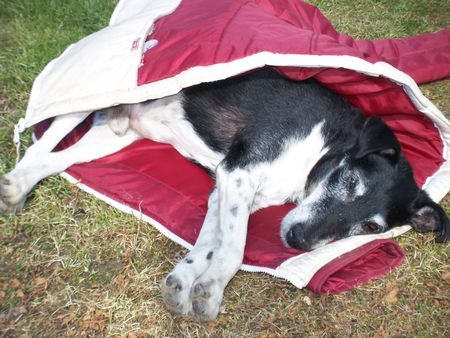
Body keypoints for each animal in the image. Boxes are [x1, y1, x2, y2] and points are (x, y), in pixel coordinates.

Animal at [1, 66, 448, 322]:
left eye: (370, 228)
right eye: (351, 180)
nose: (297, 240)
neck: (322, 147)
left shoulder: (227, 188)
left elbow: (208, 244)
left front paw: (185, 282)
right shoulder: (239, 172)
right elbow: (233, 248)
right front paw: (212, 290)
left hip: (112, 138)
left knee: (52, 159)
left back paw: (18, 187)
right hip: (93, 100)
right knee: (45, 139)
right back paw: (14, 186)